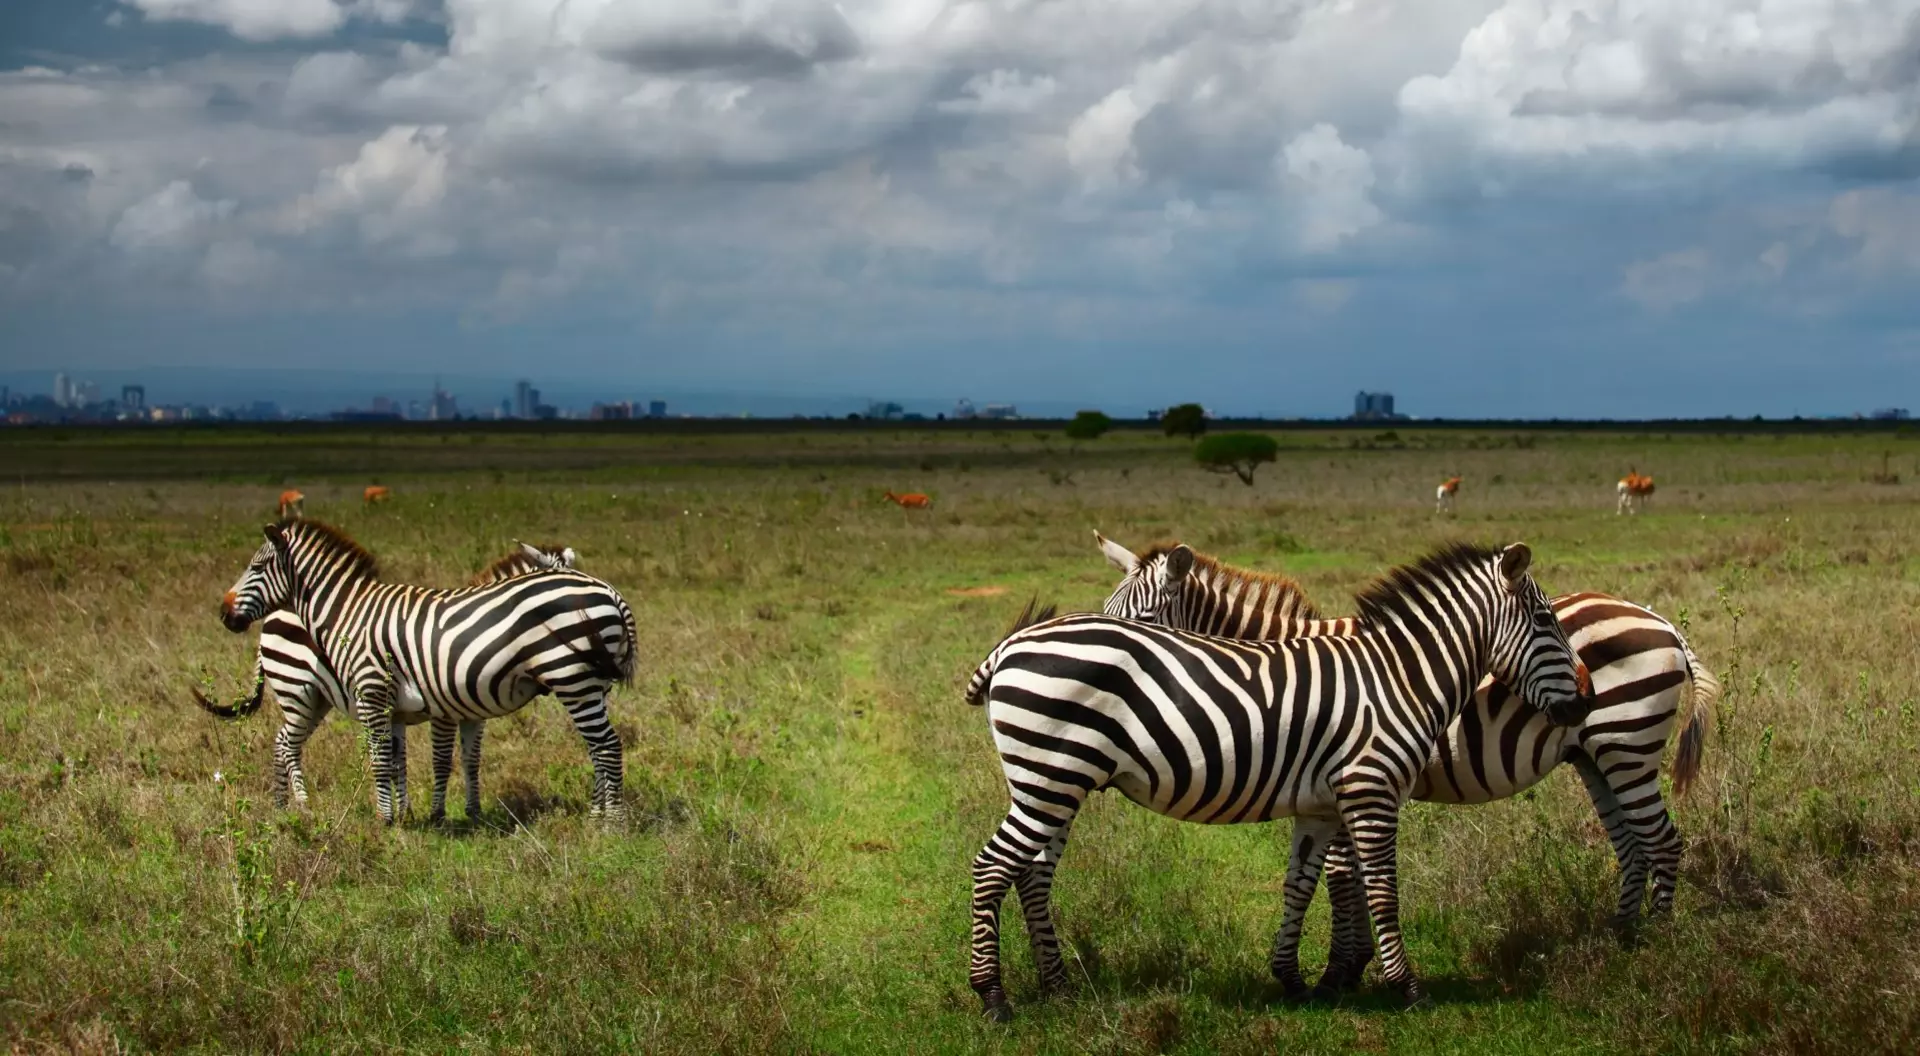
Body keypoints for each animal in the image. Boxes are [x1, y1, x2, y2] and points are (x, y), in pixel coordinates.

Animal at [218, 520, 636, 824]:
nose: (224, 613)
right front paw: (425, 816)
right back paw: (286, 810)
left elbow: (397, 758)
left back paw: (609, 823)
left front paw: (396, 819)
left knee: (605, 746)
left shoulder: (381, 694)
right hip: (302, 693)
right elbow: (430, 759)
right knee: (284, 744)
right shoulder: (439, 705)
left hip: (574, 680)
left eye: (256, 567)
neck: (348, 612)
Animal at [962, 541, 1595, 1018]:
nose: (1583, 702)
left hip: (1053, 781)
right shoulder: (1371, 790)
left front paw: (1296, 981)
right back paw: (993, 997)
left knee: (1029, 872)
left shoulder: (1322, 806)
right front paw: (1406, 989)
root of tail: (1010, 645)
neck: (1398, 677)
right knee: (995, 866)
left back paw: (1057, 988)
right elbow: (1380, 889)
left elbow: (1302, 884)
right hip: (1050, 778)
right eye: (1546, 621)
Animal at [1093, 530, 1721, 993]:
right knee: (1632, 845)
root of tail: (1660, 620)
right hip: (1595, 757)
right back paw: (1623, 936)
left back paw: (1656, 944)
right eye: (1106, 613)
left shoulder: (1348, 779)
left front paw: (1342, 972)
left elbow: (1341, 877)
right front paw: (1349, 968)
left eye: (1140, 624)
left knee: (1662, 841)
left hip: (1626, 743)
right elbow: (1343, 875)